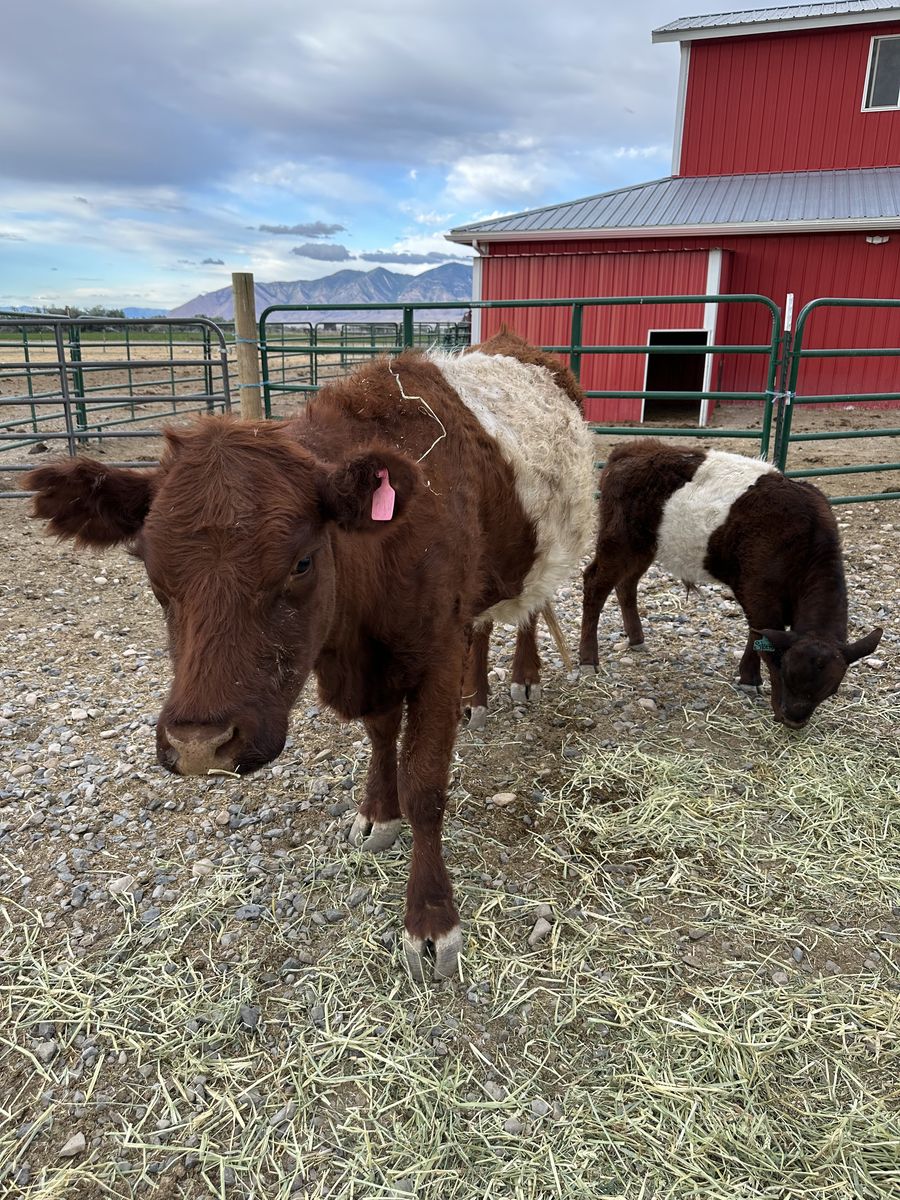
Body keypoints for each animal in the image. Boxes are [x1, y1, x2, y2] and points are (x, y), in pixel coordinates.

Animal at [27, 332, 596, 980]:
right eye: (149, 571)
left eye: (301, 562)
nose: (199, 745)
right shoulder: (378, 659)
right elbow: (381, 736)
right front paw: (378, 812)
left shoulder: (435, 652)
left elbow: (426, 785)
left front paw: (431, 919)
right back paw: (476, 698)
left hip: (549, 551)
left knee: (530, 605)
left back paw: (523, 676)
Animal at [578, 439, 883, 729]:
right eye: (786, 673)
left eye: (830, 691)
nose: (793, 720)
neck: (804, 540)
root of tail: (633, 449)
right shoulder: (759, 595)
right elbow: (763, 640)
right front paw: (754, 682)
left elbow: (756, 634)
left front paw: (749, 677)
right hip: (619, 540)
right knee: (595, 584)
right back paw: (588, 659)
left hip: (645, 546)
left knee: (626, 585)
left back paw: (636, 639)